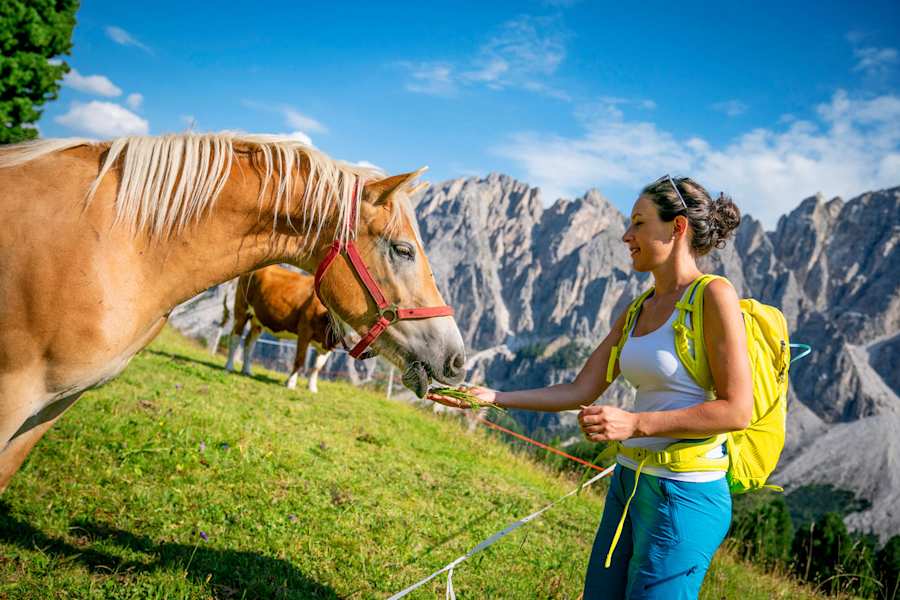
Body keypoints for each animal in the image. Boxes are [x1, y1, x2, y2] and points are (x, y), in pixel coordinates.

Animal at [223, 265, 334, 393]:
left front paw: (312, 388)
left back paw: (247, 370)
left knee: (249, 343)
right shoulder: (304, 331)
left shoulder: (328, 345)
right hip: (241, 309)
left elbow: (317, 366)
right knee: (235, 337)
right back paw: (229, 367)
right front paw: (290, 383)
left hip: (257, 321)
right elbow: (300, 360)